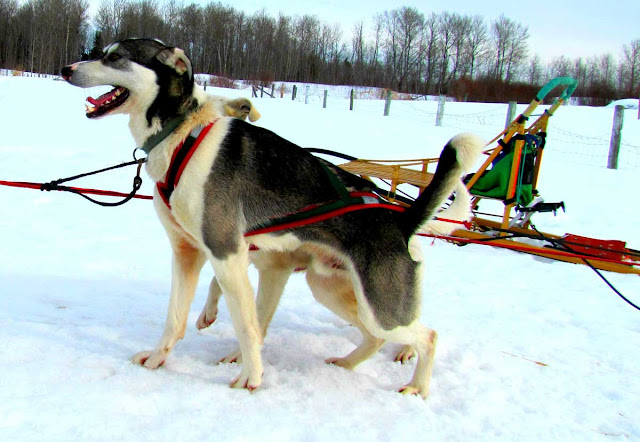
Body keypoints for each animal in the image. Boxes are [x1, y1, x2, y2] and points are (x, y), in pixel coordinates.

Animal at [61, 37, 484, 398]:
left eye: (115, 57)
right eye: (101, 51)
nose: (66, 68)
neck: (182, 133)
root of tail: (402, 219)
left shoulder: (227, 254)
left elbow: (248, 327)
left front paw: (251, 378)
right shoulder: (187, 253)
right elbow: (174, 318)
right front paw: (158, 358)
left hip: (380, 306)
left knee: (426, 336)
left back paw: (417, 387)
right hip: (329, 288)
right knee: (376, 336)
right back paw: (347, 364)